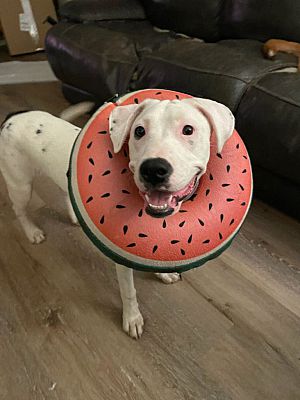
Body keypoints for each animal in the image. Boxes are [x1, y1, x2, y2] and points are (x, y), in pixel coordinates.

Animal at [0, 97, 234, 338]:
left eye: (188, 130)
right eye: (139, 131)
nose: (153, 169)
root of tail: (14, 116)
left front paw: (164, 274)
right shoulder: (123, 261)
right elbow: (129, 292)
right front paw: (132, 318)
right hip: (20, 185)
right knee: (20, 210)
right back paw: (32, 231)